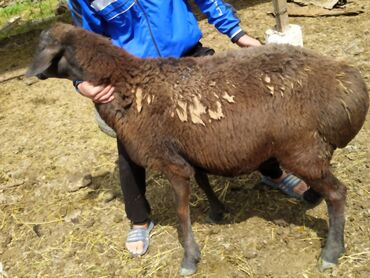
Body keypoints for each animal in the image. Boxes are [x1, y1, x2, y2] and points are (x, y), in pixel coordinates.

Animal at [27, 23, 368, 276]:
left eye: (44, 46)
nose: (32, 74)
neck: (129, 84)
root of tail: (350, 88)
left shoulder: (170, 162)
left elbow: (181, 212)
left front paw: (189, 258)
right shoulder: (192, 150)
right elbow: (203, 181)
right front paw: (217, 211)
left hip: (301, 150)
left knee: (337, 193)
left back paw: (331, 252)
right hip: (311, 152)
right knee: (326, 186)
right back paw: (310, 197)